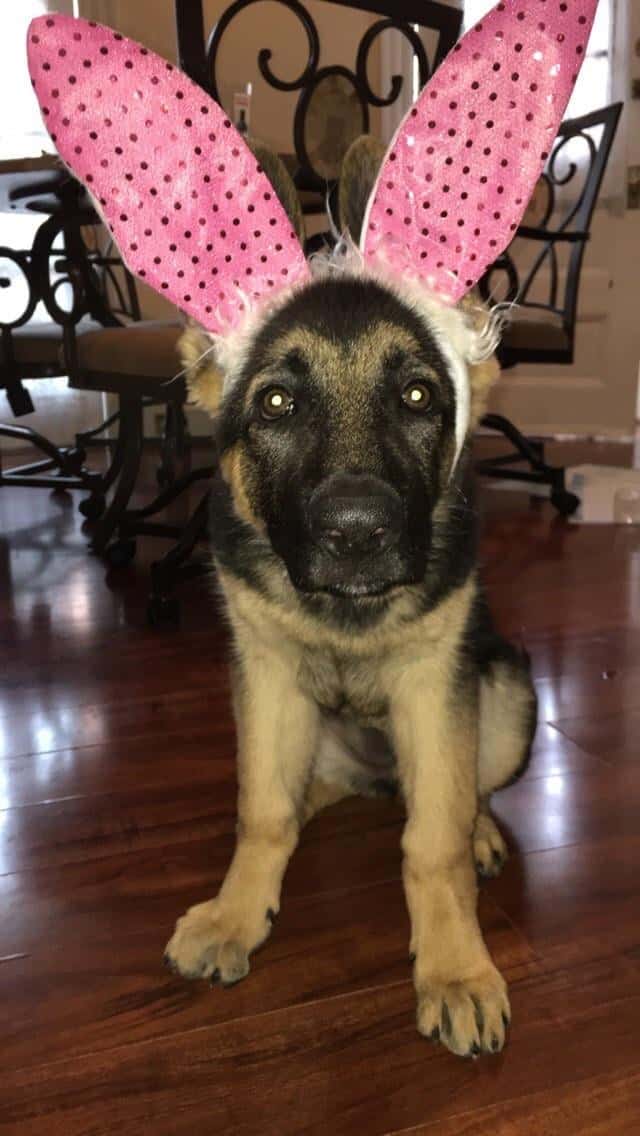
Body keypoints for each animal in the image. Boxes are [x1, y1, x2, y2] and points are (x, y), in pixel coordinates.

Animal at [164, 139, 536, 1054]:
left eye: (418, 396)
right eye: (275, 402)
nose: (359, 532)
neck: (346, 614)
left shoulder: (438, 689)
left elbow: (432, 842)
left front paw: (454, 969)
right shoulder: (265, 677)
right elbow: (262, 810)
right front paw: (235, 912)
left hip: (508, 692)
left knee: (458, 793)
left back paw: (479, 830)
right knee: (300, 794)